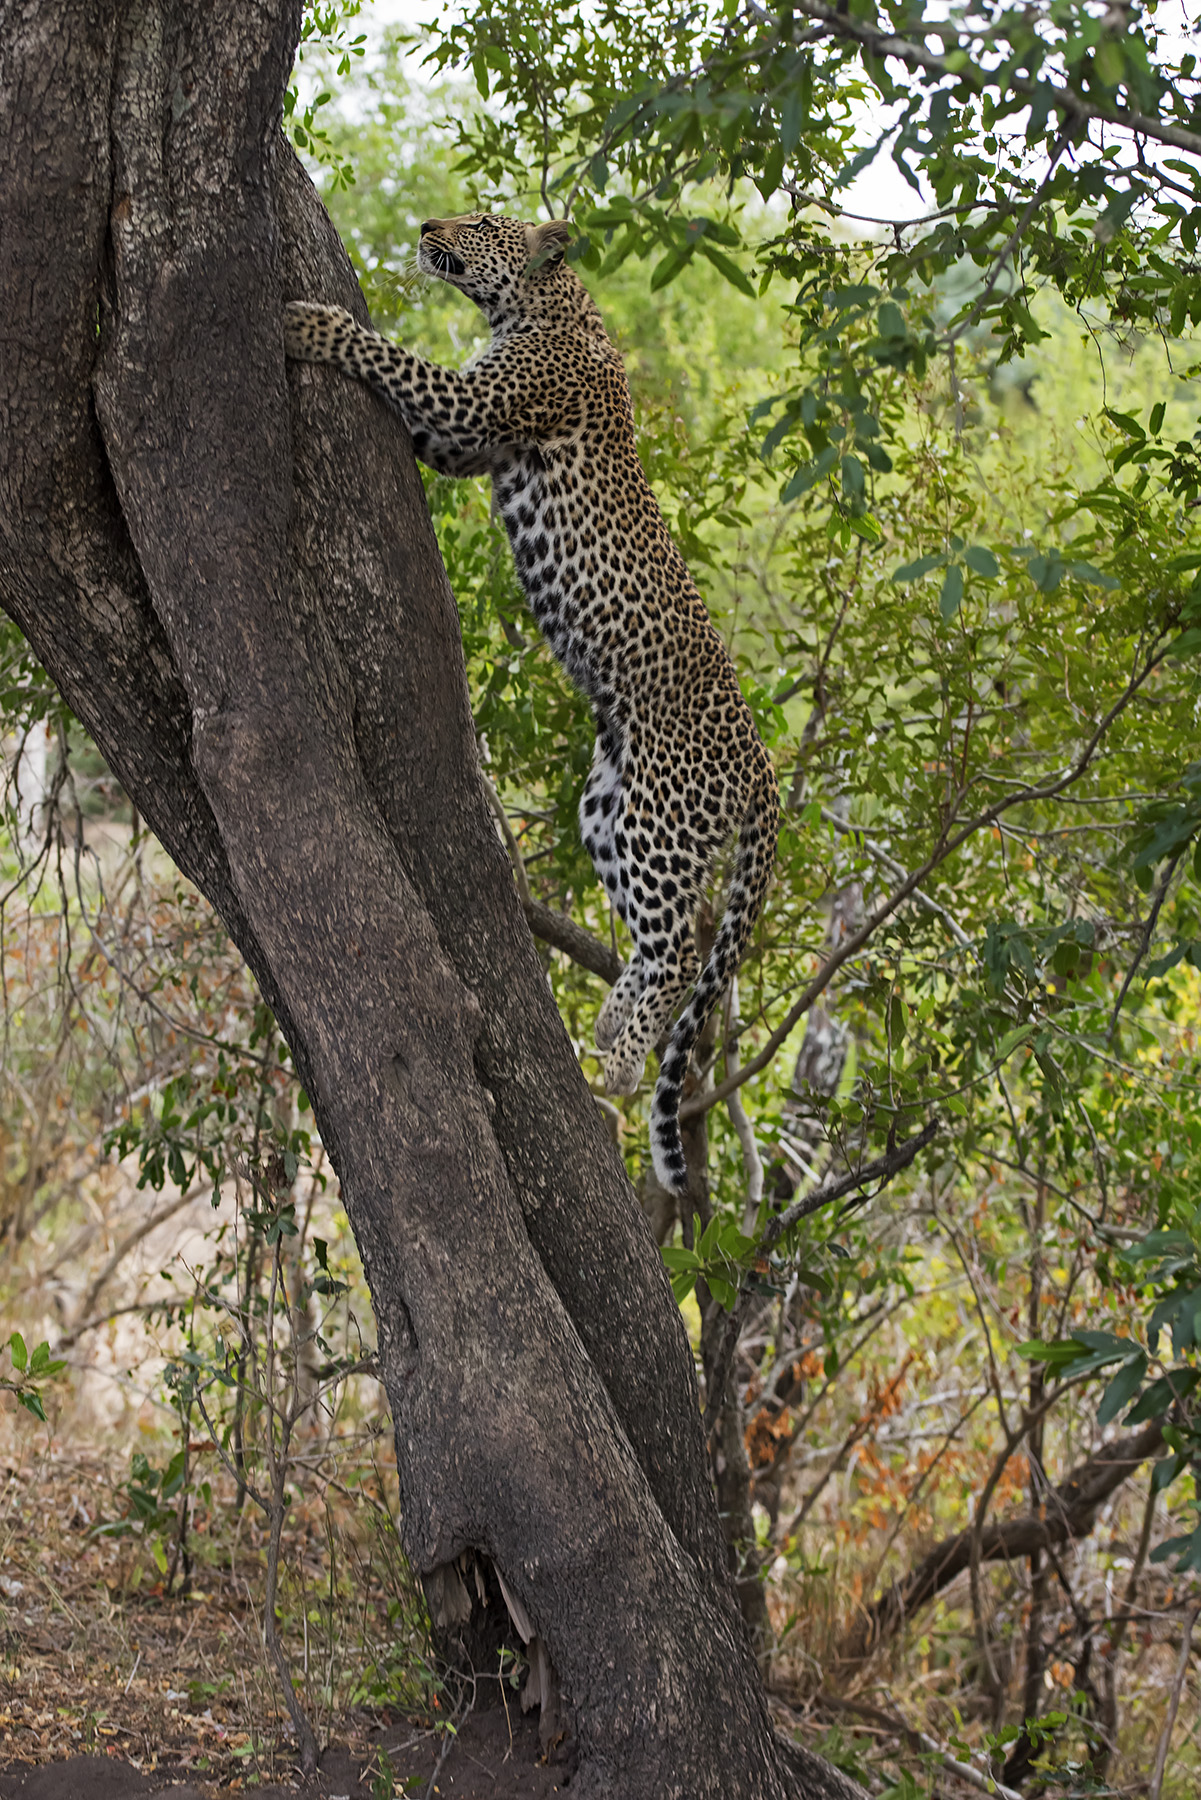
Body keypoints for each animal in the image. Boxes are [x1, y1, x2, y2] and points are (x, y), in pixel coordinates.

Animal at [283, 212, 779, 1196]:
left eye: (481, 224)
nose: (428, 225)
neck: (544, 306)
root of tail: (761, 760)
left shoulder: (476, 409)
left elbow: (390, 356)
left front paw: (312, 323)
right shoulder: (463, 441)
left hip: (661, 819)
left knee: (680, 952)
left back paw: (618, 1063)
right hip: (607, 807)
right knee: (653, 940)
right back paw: (609, 1027)